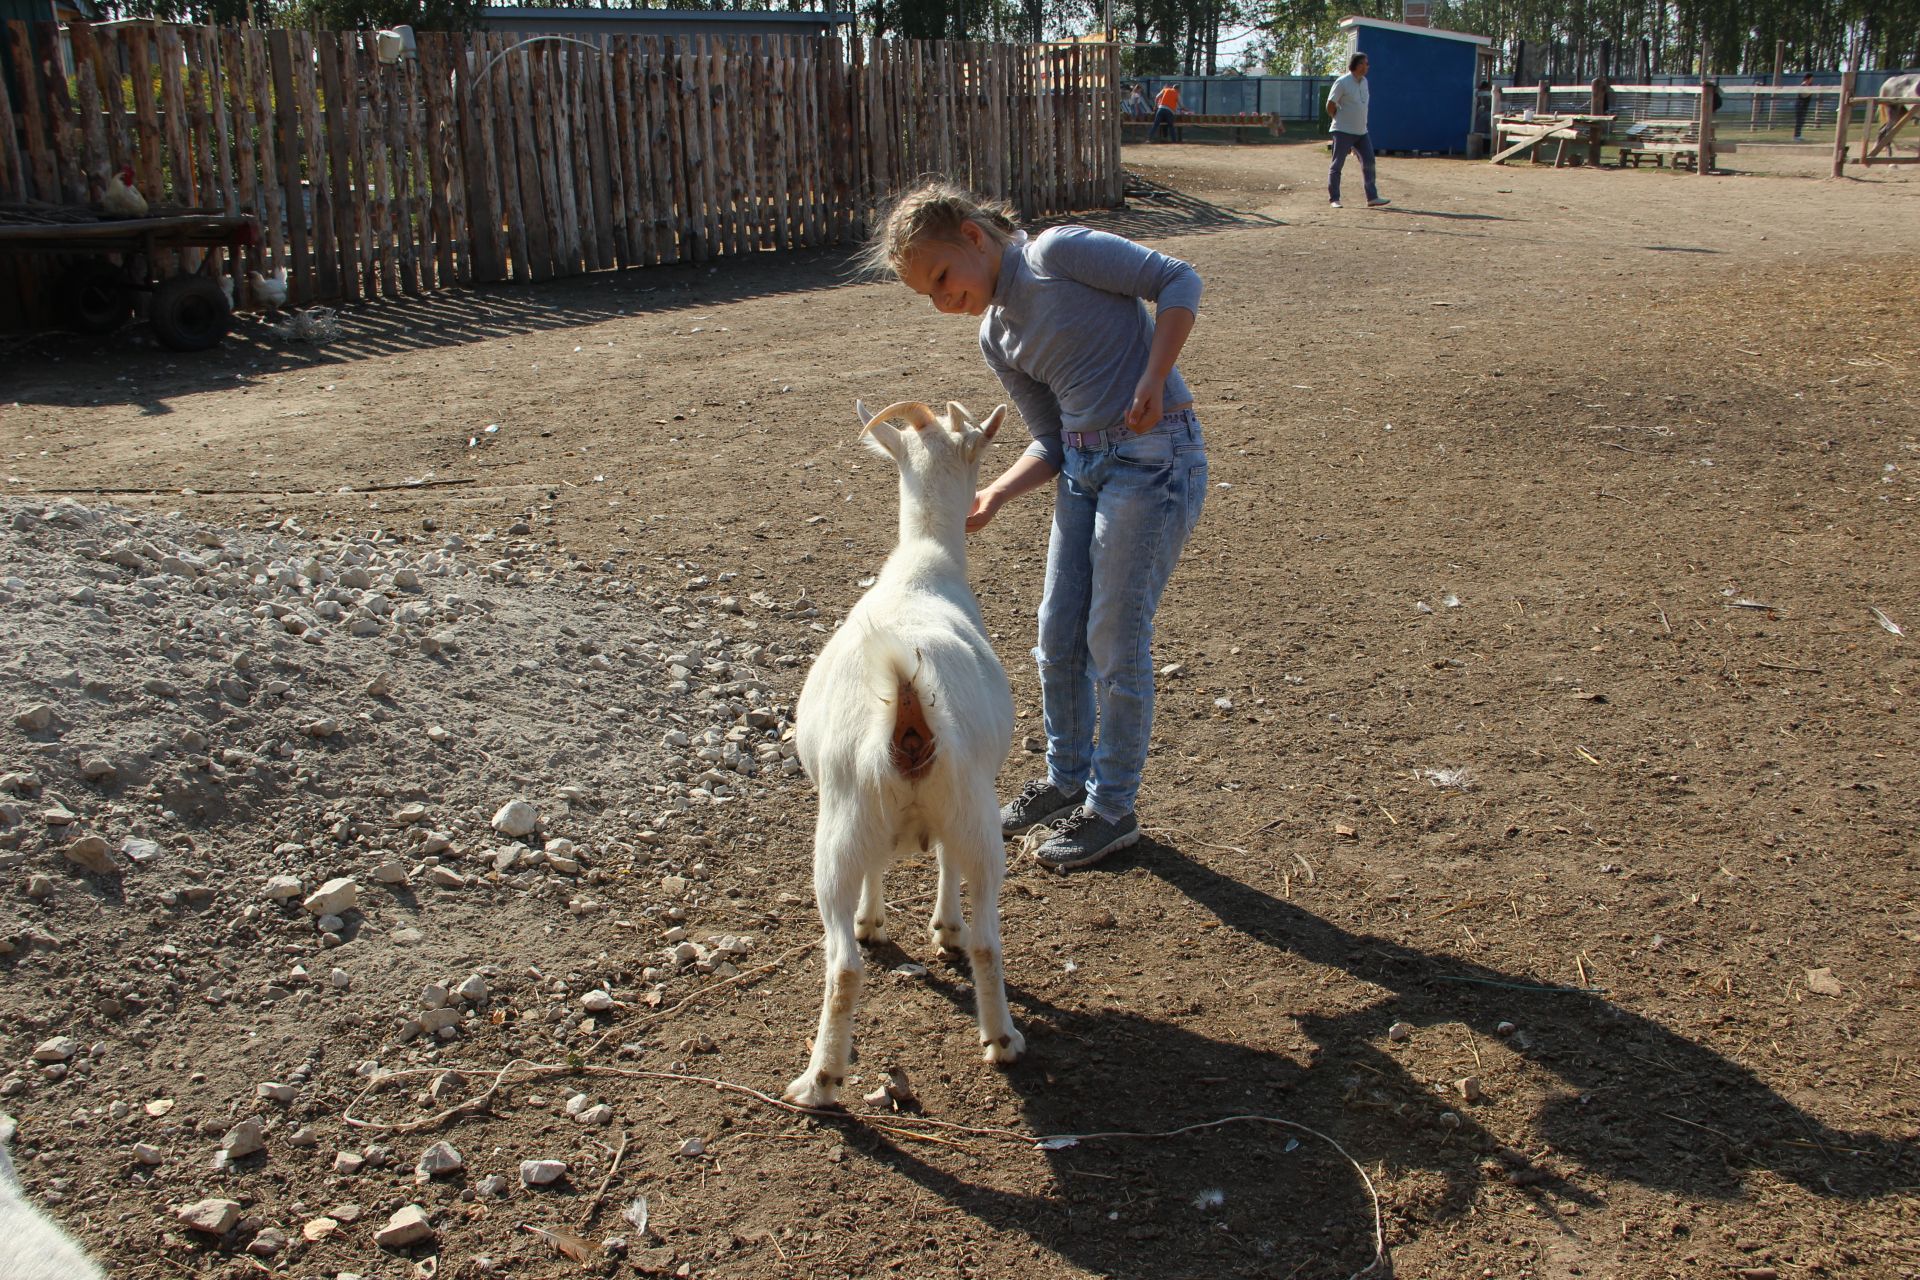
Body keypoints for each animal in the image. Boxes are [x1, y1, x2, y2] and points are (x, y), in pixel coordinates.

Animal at [783, 401, 1029, 1113]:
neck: (922, 568)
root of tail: (911, 719)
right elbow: (939, 866)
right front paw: (938, 926)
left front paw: (875, 921)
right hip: (974, 814)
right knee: (986, 939)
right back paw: (1002, 1040)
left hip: (842, 826)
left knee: (842, 963)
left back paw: (821, 1080)